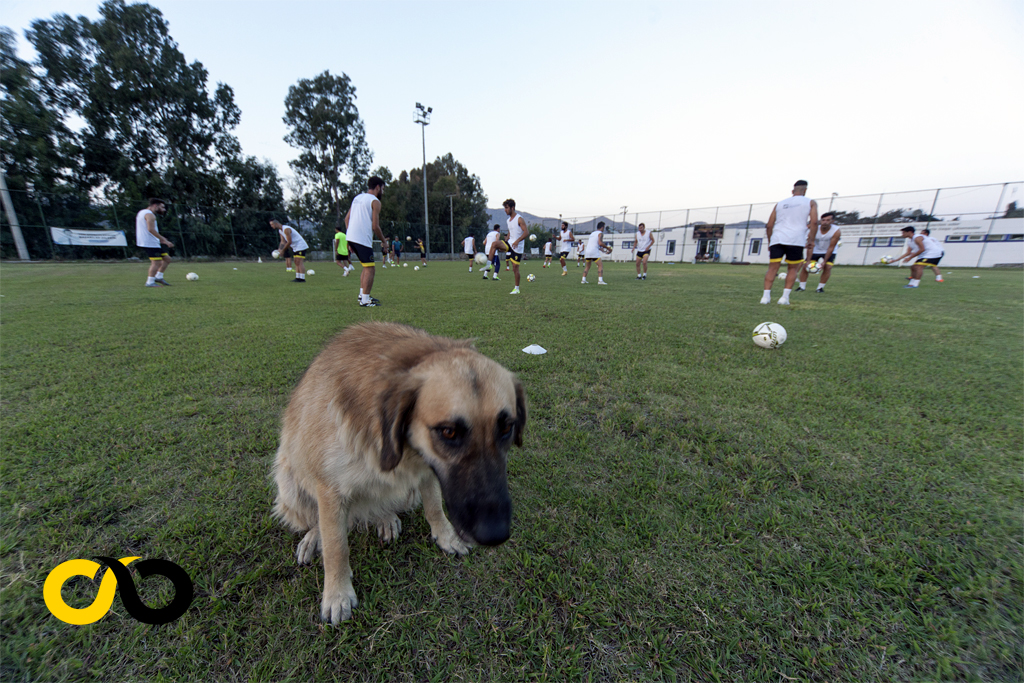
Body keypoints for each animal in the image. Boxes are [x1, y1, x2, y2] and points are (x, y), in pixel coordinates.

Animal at [270, 323, 524, 622]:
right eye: (448, 432)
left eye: (507, 427)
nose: (495, 535)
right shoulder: (330, 489)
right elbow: (336, 546)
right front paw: (337, 593)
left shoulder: (427, 469)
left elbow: (435, 507)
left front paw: (446, 536)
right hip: (290, 484)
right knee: (317, 520)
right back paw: (313, 537)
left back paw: (385, 518)